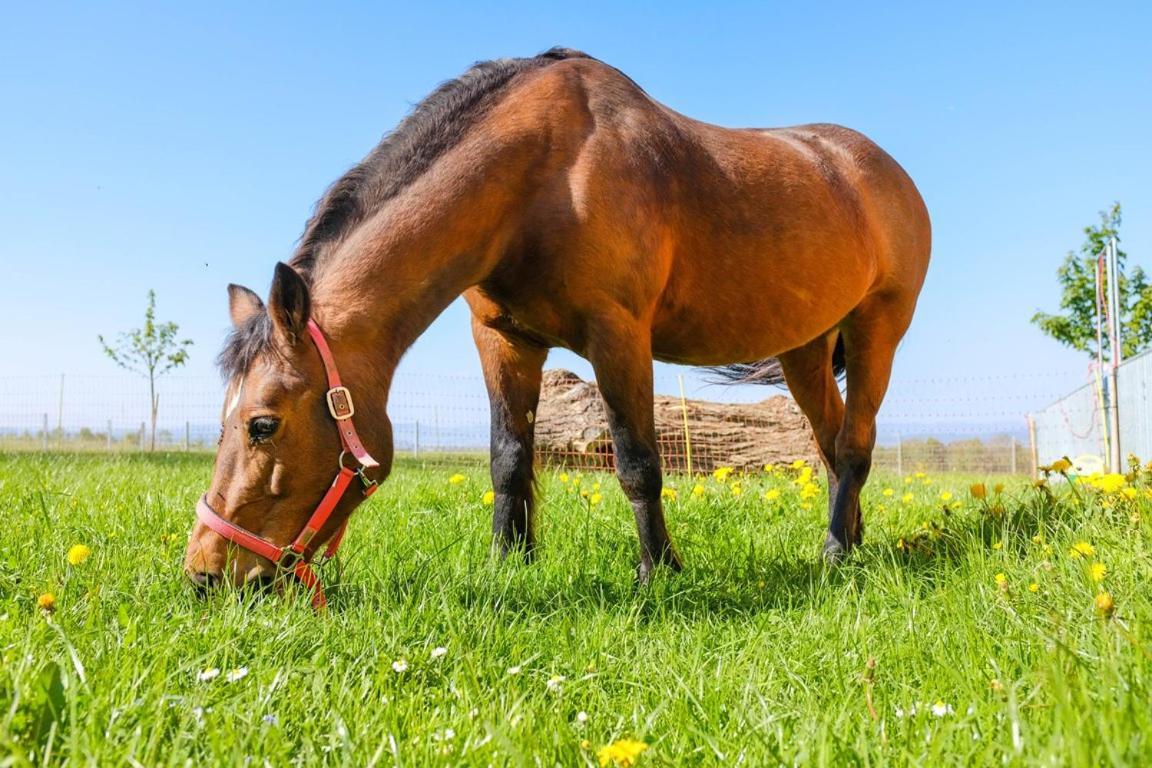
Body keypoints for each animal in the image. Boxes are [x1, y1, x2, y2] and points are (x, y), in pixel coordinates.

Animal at [184, 45, 930, 594]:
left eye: (262, 424)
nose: (203, 573)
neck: (545, 173)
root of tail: (878, 169)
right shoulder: (504, 340)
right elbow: (509, 460)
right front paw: (508, 563)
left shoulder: (618, 334)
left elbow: (637, 461)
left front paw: (659, 573)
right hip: (805, 349)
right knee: (831, 444)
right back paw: (850, 538)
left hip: (878, 330)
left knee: (854, 445)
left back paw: (834, 555)